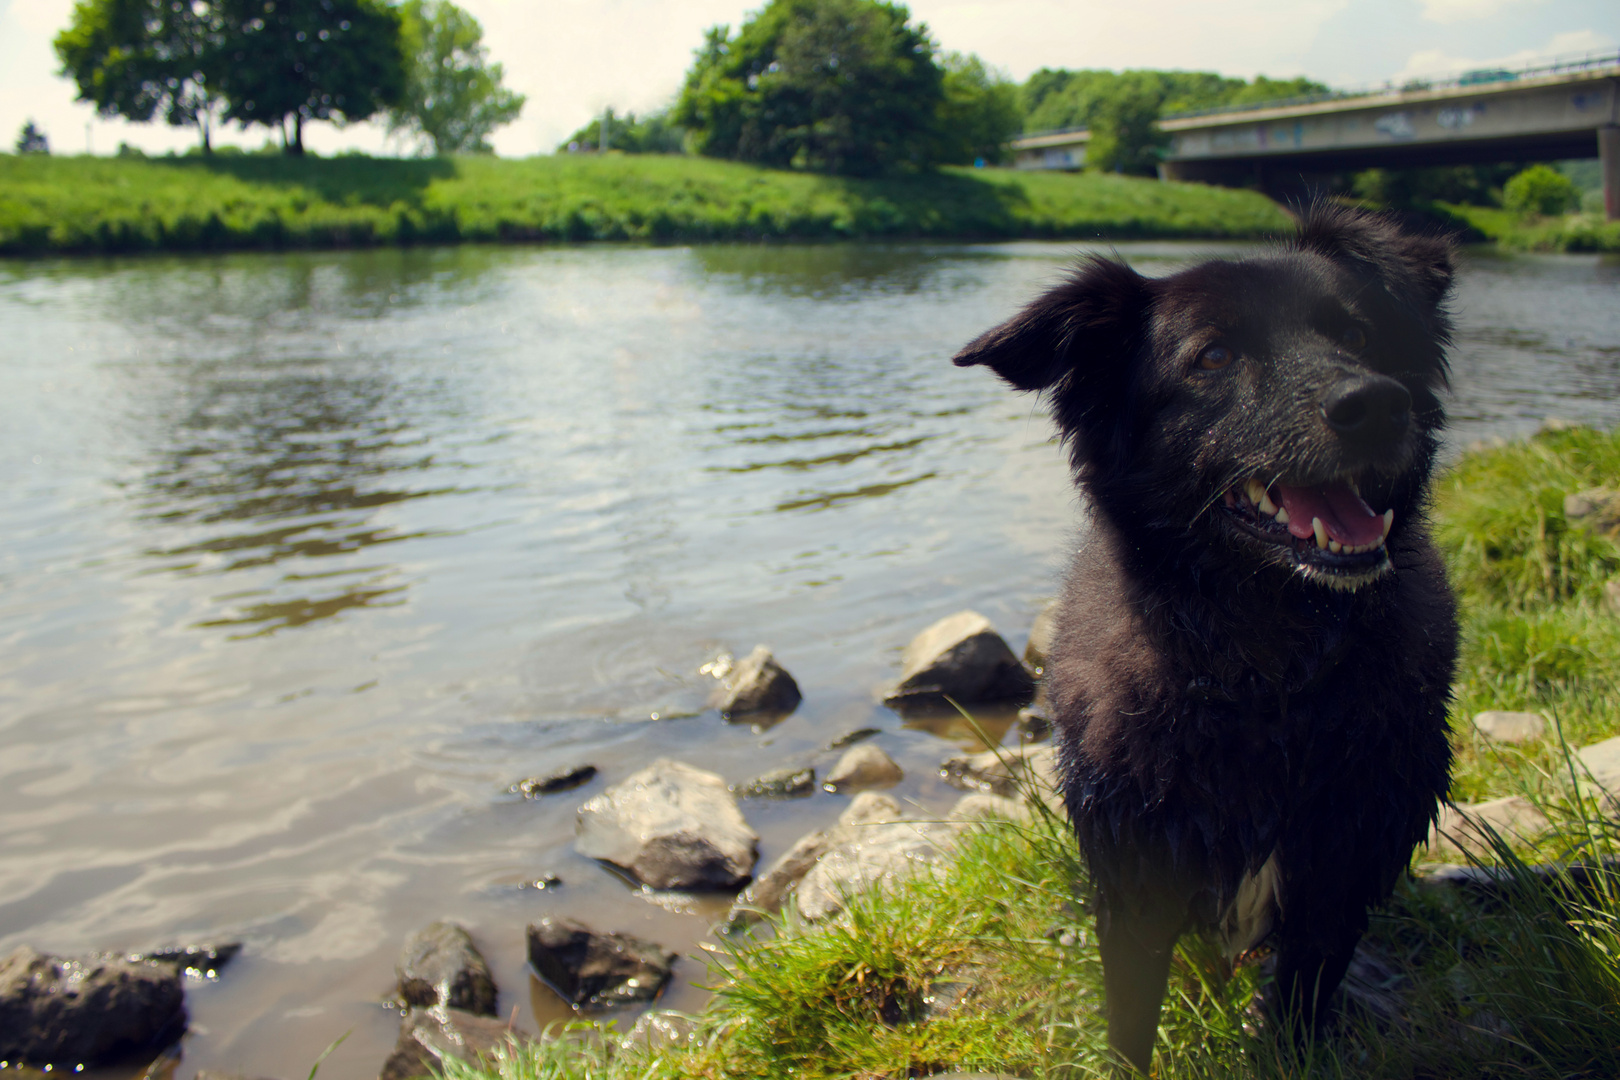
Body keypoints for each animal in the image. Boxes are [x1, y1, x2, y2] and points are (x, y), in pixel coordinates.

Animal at [952, 204, 1464, 1075]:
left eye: (1358, 334)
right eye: (1213, 356)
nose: (1375, 404)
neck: (1268, 672)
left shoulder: (1338, 877)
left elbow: (1298, 1015)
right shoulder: (1132, 882)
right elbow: (1129, 1028)